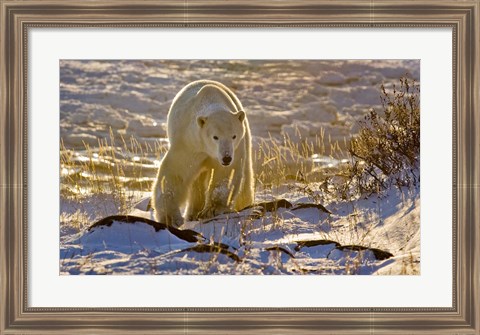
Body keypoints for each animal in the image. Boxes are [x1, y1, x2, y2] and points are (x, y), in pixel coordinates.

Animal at [153, 80, 255, 230]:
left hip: (245, 139)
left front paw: (212, 209)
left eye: (234, 136)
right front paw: (170, 217)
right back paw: (192, 214)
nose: (226, 158)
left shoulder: (235, 149)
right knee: (197, 181)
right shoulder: (190, 143)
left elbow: (225, 175)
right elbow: (175, 174)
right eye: (215, 137)